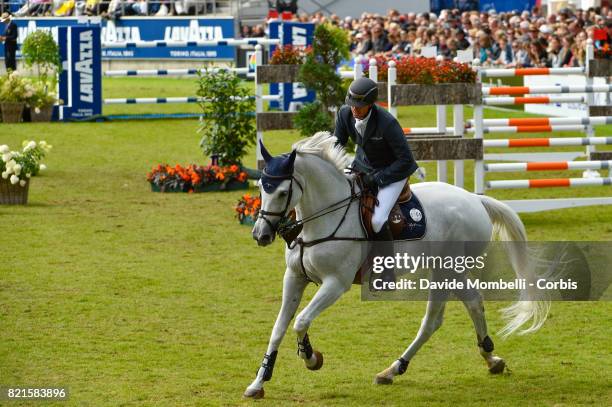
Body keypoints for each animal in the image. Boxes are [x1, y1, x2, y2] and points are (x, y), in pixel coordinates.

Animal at [244, 133, 548, 398]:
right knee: (464, 307)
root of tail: (474, 199)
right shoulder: (294, 277)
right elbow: (279, 328)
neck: (321, 220)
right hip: (447, 270)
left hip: (447, 270)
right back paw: (478, 359)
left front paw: (311, 357)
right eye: (261, 187)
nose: (261, 235)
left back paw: (403, 367)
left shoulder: (335, 283)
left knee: (439, 317)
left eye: (283, 192)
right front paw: (259, 382)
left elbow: (301, 321)